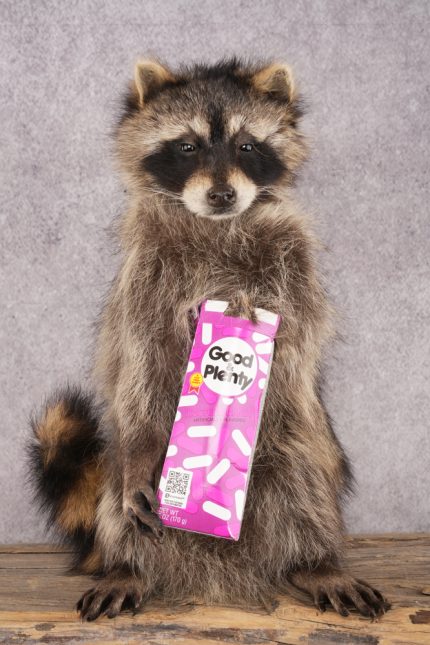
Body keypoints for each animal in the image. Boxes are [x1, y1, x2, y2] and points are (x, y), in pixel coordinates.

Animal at [28, 58, 389, 621]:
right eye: (187, 146)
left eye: (246, 146)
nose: (222, 195)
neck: (218, 224)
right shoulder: (145, 276)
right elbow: (142, 361)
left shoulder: (295, 258)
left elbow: (300, 332)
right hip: (127, 476)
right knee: (120, 494)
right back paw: (128, 566)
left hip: (302, 438)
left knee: (305, 481)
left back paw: (316, 560)